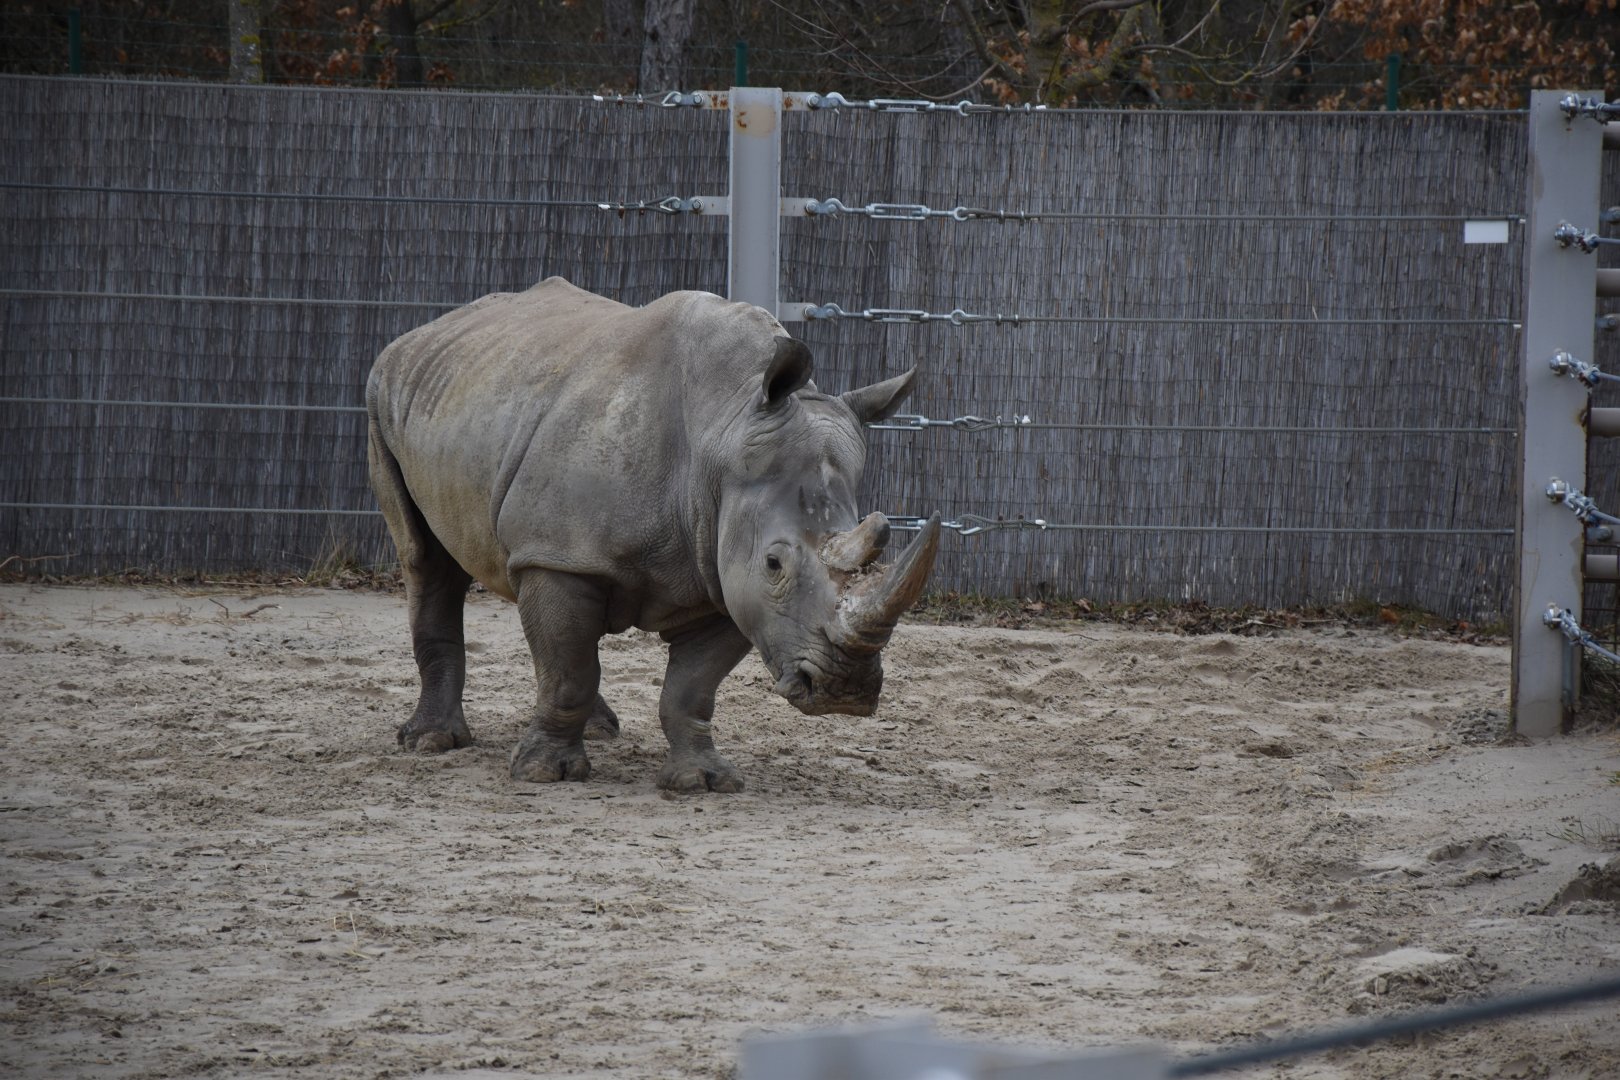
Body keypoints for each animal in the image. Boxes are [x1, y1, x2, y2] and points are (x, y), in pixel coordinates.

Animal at [365, 277, 941, 792]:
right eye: (775, 564)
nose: (845, 691)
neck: (724, 431)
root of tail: (425, 332)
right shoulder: (562, 558)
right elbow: (568, 674)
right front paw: (544, 774)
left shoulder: (725, 572)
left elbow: (689, 690)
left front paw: (702, 780)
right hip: (384, 396)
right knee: (426, 560)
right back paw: (431, 742)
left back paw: (601, 732)